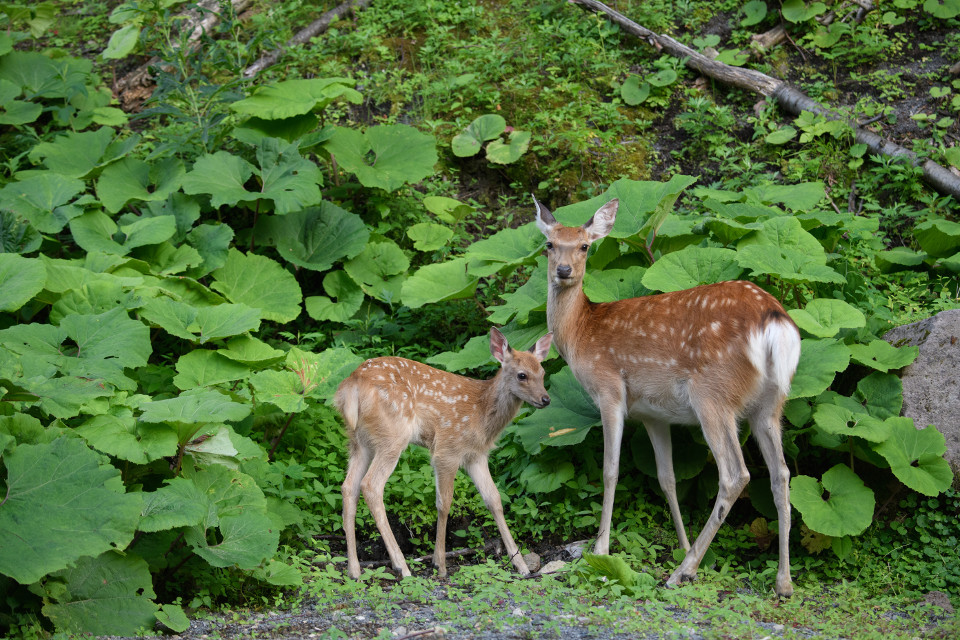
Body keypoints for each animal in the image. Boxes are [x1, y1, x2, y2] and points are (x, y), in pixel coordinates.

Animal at [336, 328, 552, 576]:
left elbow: (494, 499)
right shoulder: (447, 449)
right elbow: (444, 502)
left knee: (348, 487)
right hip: (392, 436)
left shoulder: (476, 456)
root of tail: (352, 384)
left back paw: (354, 570)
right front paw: (439, 564)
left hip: (359, 441)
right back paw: (402, 567)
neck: (481, 412)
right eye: (522, 375)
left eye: (542, 372)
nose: (546, 399)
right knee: (371, 486)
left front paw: (521, 565)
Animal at [536, 195, 800, 596]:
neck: (582, 334)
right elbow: (667, 479)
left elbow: (610, 470)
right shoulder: (653, 415)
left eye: (584, 245)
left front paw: (600, 548)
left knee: (735, 475)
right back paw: (782, 581)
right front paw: (682, 542)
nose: (564, 270)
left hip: (713, 394)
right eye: (550, 244)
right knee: (781, 474)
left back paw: (684, 572)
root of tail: (775, 320)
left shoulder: (610, 391)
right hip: (769, 404)